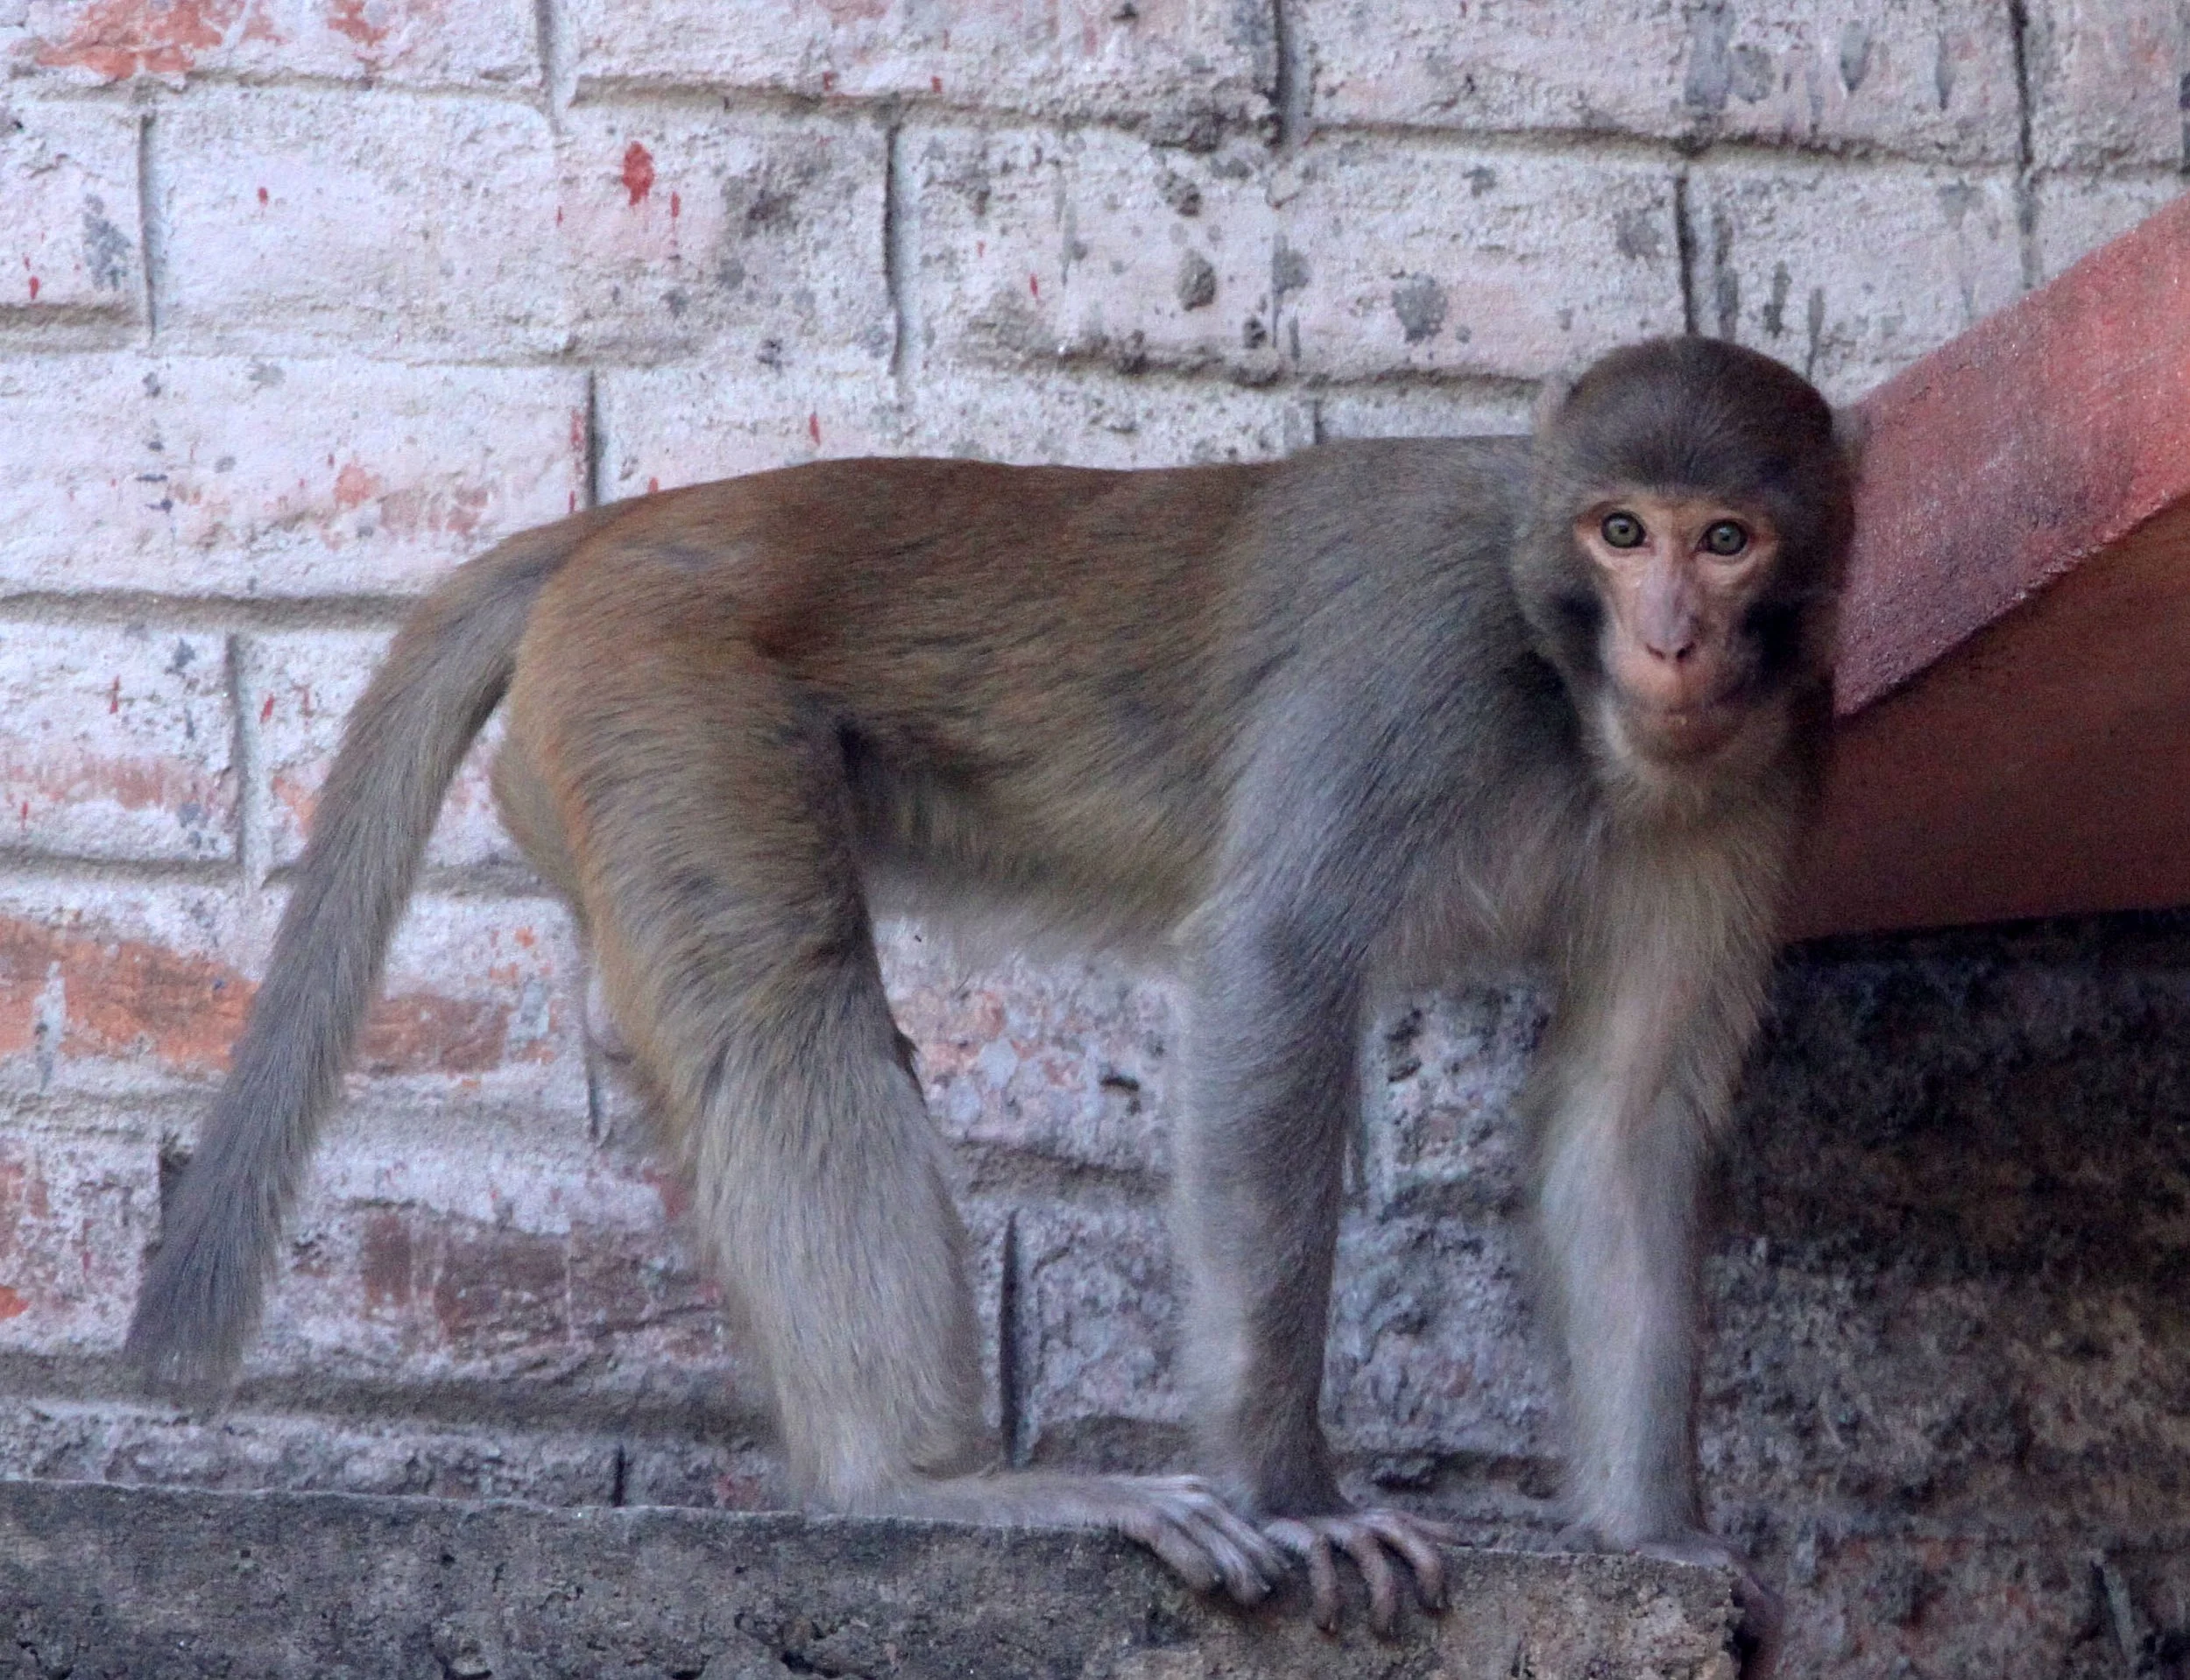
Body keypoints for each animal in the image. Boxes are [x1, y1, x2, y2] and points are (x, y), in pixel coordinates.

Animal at [126, 335, 1852, 1641]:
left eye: (1725, 537)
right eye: (1621, 531)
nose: (1674, 641)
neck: (1560, 679)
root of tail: (628, 523)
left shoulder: (1752, 773)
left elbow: (1626, 1109)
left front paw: (1655, 1539)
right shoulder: (1414, 667)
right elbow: (1277, 970)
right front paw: (1300, 1499)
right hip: (659, 684)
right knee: (787, 1008)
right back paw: (918, 1485)